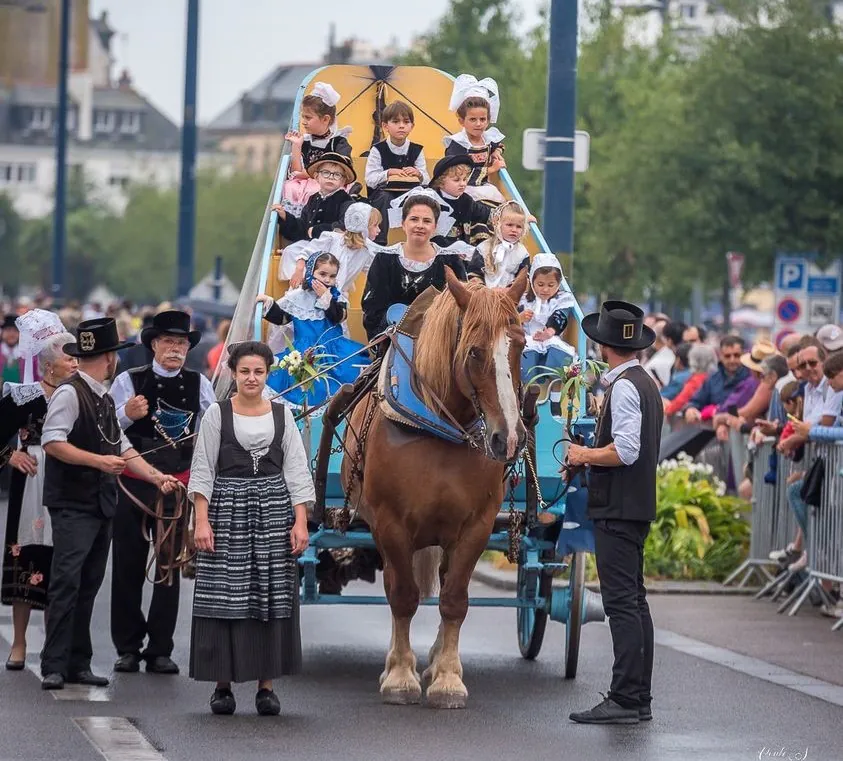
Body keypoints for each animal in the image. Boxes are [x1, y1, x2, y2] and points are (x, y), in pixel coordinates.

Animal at [342, 268, 528, 708]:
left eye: (521, 346)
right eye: (474, 352)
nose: (509, 439)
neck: (438, 426)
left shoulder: (476, 526)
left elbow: (455, 599)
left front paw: (447, 678)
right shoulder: (390, 523)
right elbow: (403, 596)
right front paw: (399, 676)